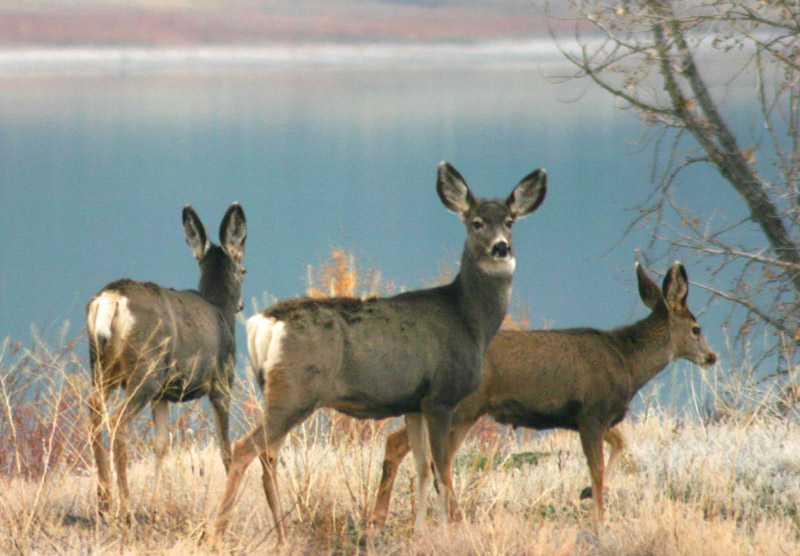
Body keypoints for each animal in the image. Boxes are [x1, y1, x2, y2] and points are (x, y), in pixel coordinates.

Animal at [86, 202, 245, 520]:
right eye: (244, 270)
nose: (242, 305)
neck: (220, 310)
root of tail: (111, 298)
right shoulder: (222, 381)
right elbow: (226, 447)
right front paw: (229, 509)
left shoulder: (164, 395)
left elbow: (161, 446)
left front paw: (156, 506)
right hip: (145, 371)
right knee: (117, 420)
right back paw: (125, 507)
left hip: (102, 367)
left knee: (94, 408)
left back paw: (104, 501)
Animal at [211, 161, 552, 544]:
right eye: (476, 222)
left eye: (509, 221)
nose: (501, 248)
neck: (469, 320)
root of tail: (264, 323)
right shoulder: (441, 397)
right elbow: (442, 472)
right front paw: (449, 531)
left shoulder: (415, 403)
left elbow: (422, 468)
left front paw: (419, 532)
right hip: (294, 391)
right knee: (244, 449)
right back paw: (217, 533)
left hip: (275, 391)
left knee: (267, 455)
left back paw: (282, 536)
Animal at [372, 262, 716, 532]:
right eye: (696, 329)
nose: (711, 357)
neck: (628, 363)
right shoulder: (592, 413)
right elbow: (598, 469)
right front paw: (599, 520)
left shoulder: (593, 418)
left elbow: (620, 443)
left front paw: (585, 494)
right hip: (458, 407)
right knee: (402, 444)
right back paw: (389, 519)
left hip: (460, 412)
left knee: (426, 456)